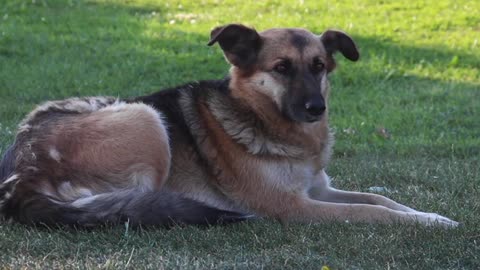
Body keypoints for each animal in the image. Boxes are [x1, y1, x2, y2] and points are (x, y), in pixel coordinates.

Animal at [0, 23, 458, 228]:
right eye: (281, 68)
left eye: (319, 66)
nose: (316, 108)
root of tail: (23, 175)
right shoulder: (294, 206)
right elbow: (369, 211)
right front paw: (428, 223)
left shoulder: (318, 189)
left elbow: (382, 200)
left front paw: (431, 214)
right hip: (146, 119)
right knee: (129, 205)